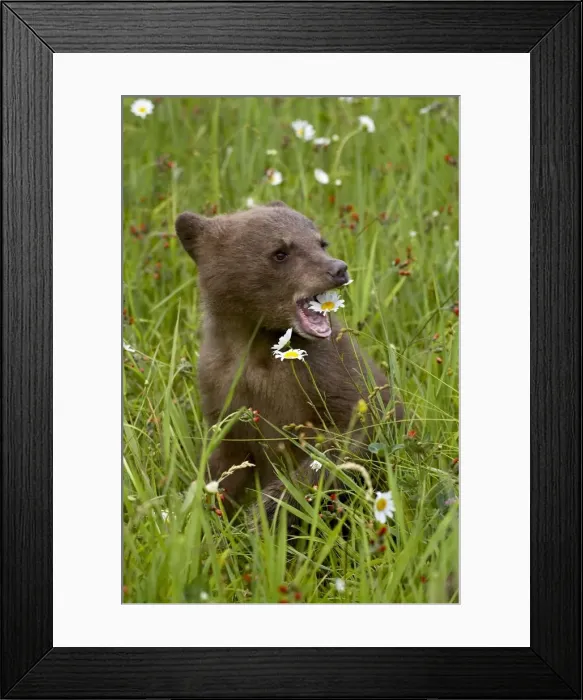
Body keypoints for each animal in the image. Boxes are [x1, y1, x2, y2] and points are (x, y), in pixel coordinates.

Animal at [175, 201, 401, 520]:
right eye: (280, 252)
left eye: (320, 242)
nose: (338, 268)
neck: (257, 347)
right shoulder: (222, 388)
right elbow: (222, 466)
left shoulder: (326, 370)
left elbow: (350, 432)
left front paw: (268, 510)